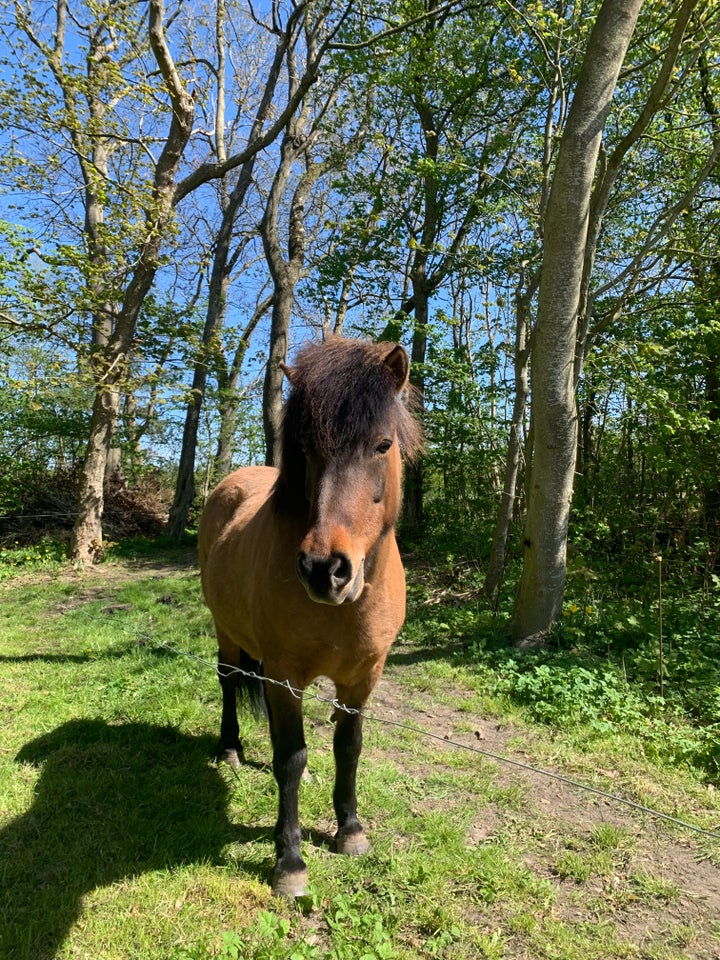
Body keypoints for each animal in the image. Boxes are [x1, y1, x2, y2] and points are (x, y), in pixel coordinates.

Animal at [197, 334, 422, 896]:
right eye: (306, 449)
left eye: (382, 445)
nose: (325, 569)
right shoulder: (285, 676)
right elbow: (293, 759)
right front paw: (290, 862)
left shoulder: (364, 676)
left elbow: (348, 746)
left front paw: (351, 831)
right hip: (227, 633)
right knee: (229, 682)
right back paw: (230, 749)